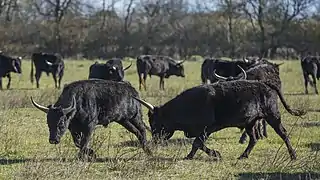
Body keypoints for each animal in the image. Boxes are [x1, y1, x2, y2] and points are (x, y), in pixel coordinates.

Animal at [133, 79, 304, 160]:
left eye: (155, 122)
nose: (156, 139)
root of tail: (265, 84)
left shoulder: (206, 129)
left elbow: (197, 144)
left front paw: (214, 154)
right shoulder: (200, 131)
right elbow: (198, 144)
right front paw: (192, 156)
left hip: (273, 116)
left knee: (283, 134)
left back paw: (293, 155)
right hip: (250, 122)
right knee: (253, 139)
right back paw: (243, 155)